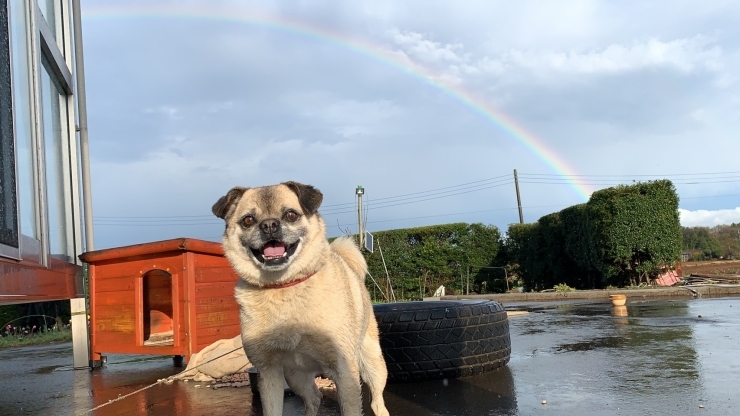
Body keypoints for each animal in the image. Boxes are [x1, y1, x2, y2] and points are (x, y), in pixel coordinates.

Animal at [211, 182, 390, 416]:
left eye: (291, 215)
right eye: (248, 220)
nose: (269, 225)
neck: (284, 286)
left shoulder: (345, 372)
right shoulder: (270, 373)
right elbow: (272, 410)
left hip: (371, 364)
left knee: (377, 400)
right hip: (296, 377)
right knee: (314, 398)